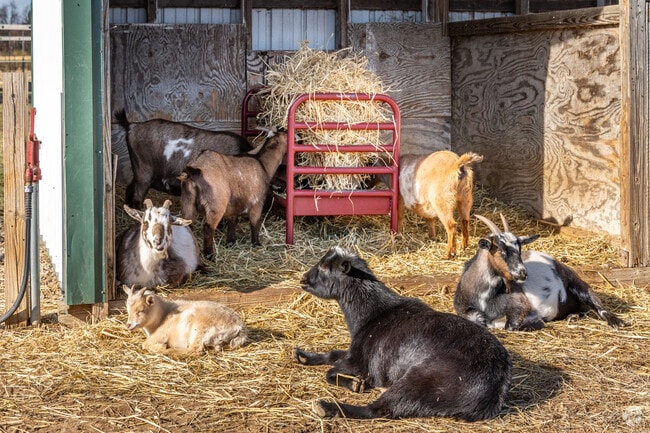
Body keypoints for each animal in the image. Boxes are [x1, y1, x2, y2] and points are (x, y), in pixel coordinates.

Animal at [294, 246, 512, 421]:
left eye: (324, 268)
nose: (303, 279)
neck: (373, 312)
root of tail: (496, 384)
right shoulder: (354, 351)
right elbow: (332, 354)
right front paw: (303, 356)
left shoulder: (359, 362)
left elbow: (330, 372)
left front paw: (355, 384)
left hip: (419, 380)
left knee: (378, 409)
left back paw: (324, 406)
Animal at [454, 213, 625, 330]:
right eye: (500, 250)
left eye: (519, 248)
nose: (522, 273)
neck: (483, 297)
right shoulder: (464, 311)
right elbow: (479, 320)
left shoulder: (520, 306)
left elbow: (509, 325)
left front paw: (535, 323)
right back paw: (573, 316)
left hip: (579, 284)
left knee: (598, 306)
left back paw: (617, 322)